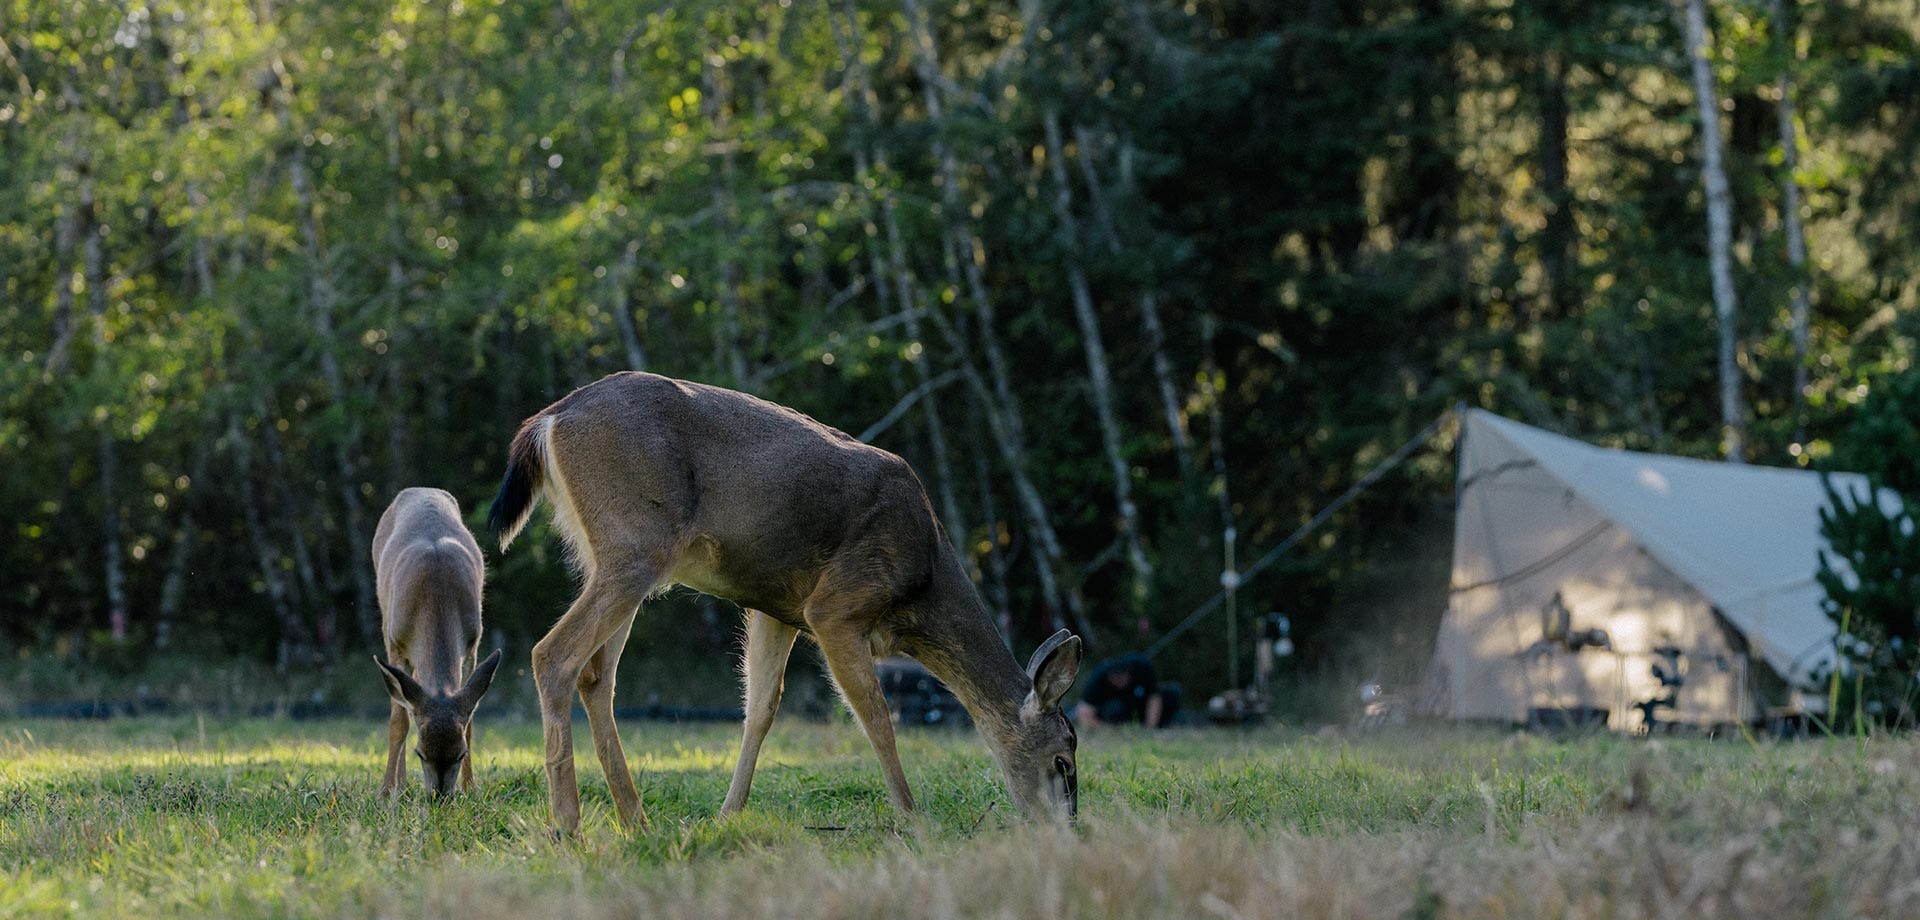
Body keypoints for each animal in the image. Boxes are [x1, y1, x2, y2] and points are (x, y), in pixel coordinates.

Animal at [371, 487, 504, 801]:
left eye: (461, 754)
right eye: (420, 753)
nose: (439, 798)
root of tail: (421, 489)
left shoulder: (472, 643)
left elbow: (470, 721)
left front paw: (470, 787)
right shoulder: (395, 644)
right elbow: (399, 721)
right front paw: (387, 791)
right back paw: (400, 785)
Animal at [487, 372, 1083, 834]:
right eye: (1063, 759)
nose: (1069, 829)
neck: (923, 582)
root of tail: (548, 420)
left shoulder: (775, 609)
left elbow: (762, 708)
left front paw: (727, 815)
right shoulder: (837, 605)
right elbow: (876, 713)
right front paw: (914, 820)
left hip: (612, 558)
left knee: (596, 677)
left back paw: (635, 819)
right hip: (634, 545)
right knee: (552, 655)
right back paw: (568, 825)